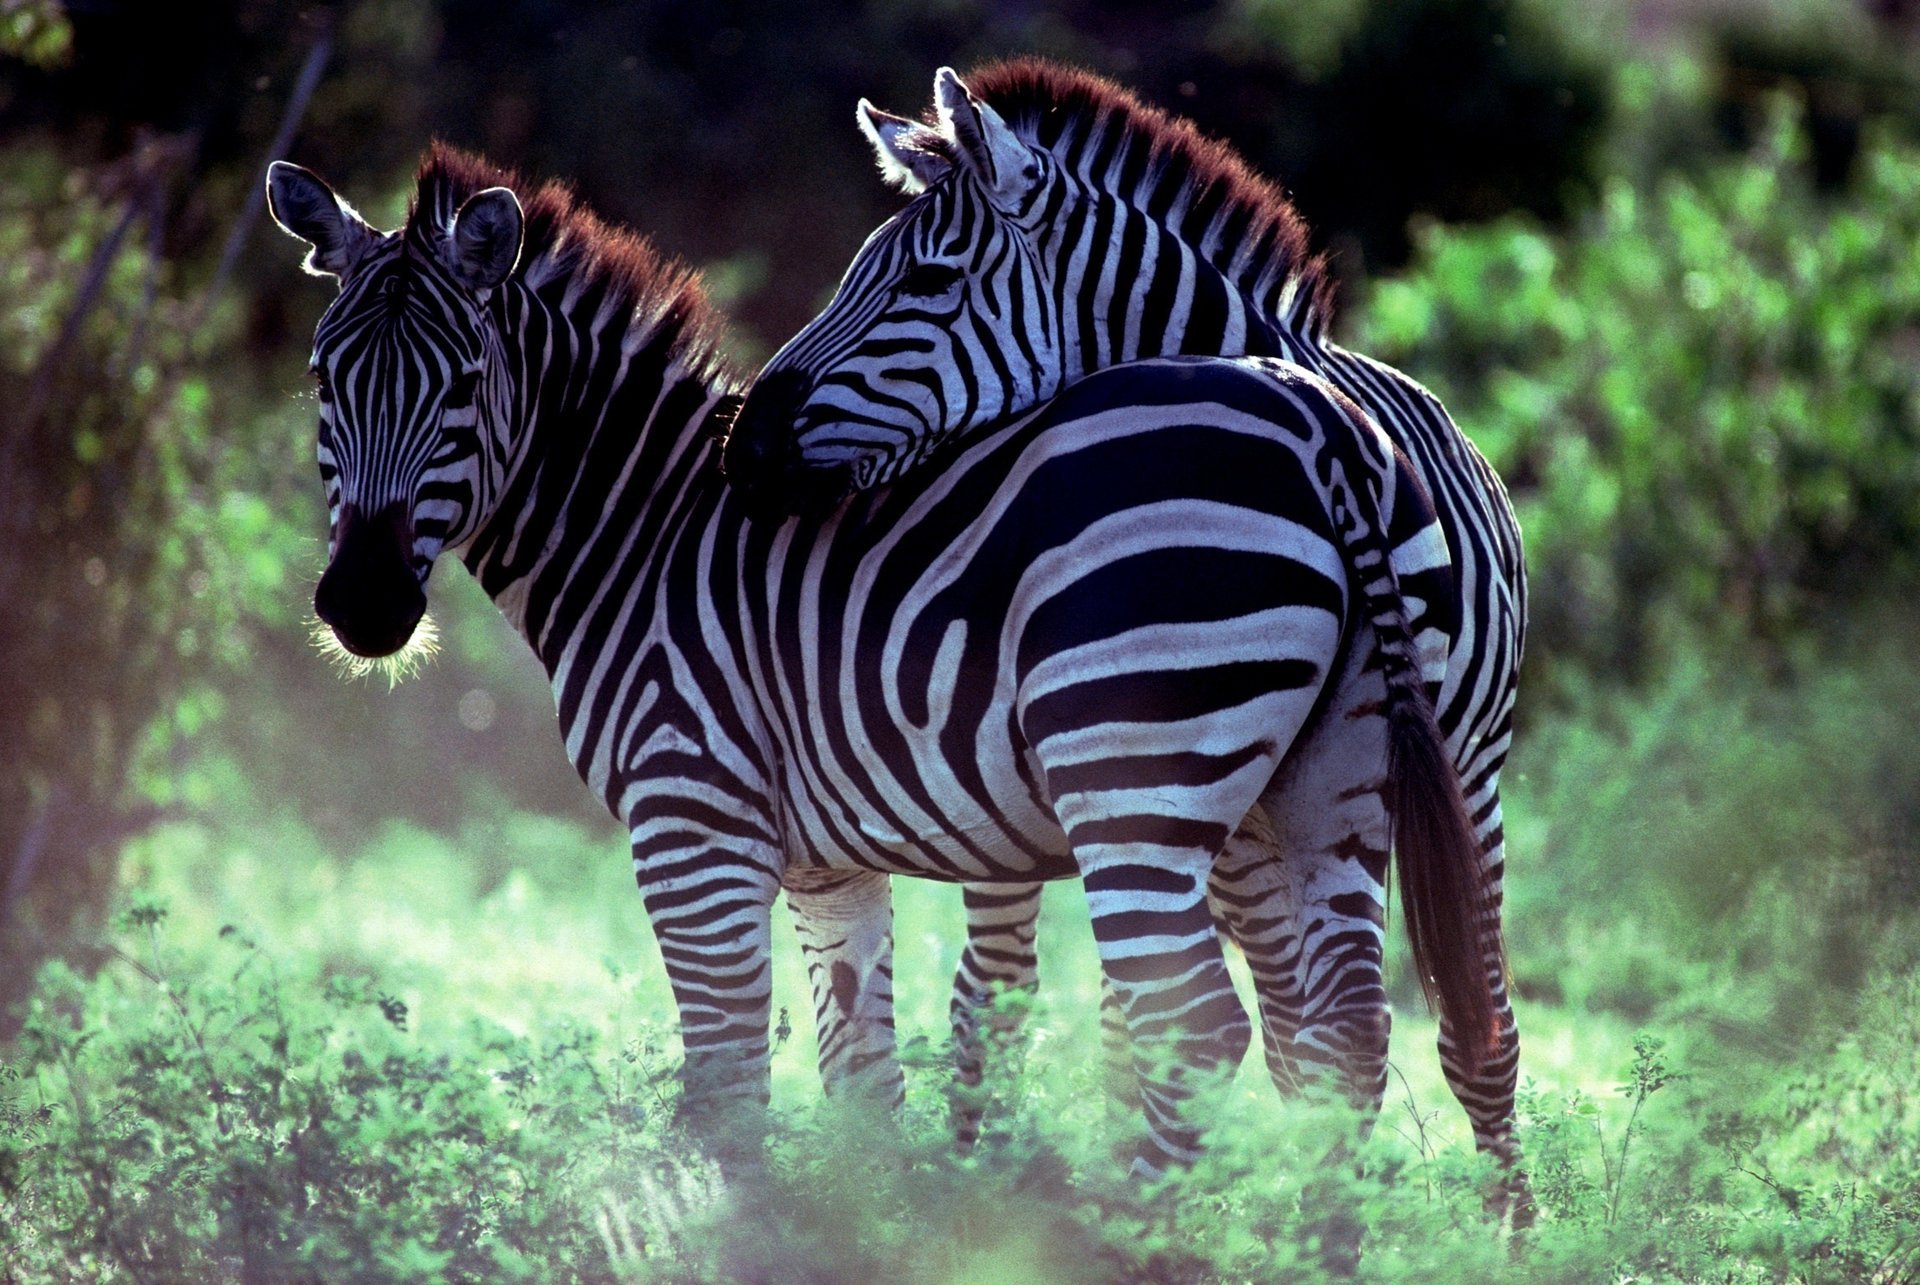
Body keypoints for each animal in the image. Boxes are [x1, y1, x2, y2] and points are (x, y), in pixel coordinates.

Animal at [270, 145, 1497, 1175]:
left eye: (462, 384)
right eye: (324, 379)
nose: (364, 605)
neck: (643, 532)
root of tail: (1319, 420)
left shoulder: (692, 824)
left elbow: (725, 1091)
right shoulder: (827, 867)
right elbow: (861, 1083)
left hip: (1134, 777)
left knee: (1196, 1024)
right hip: (1334, 782)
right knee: (1345, 1036)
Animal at [721, 55, 1528, 1206]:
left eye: (926, 284)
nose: (742, 451)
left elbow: (1470, 1025)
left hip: (1430, 776)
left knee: (1414, 1025)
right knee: (1188, 1011)